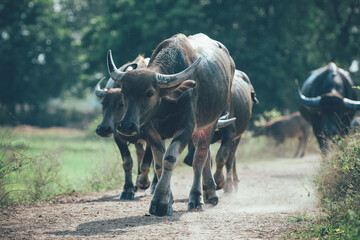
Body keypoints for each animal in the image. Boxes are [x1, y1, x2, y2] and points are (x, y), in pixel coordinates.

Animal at [105, 33, 235, 216]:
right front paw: (168, 201)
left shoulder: (186, 129)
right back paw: (209, 192)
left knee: (200, 159)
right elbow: (159, 164)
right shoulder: (151, 132)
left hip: (209, 123)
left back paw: (198, 198)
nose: (126, 126)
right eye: (124, 92)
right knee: (205, 156)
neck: (166, 106)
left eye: (149, 93)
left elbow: (170, 159)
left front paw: (160, 202)